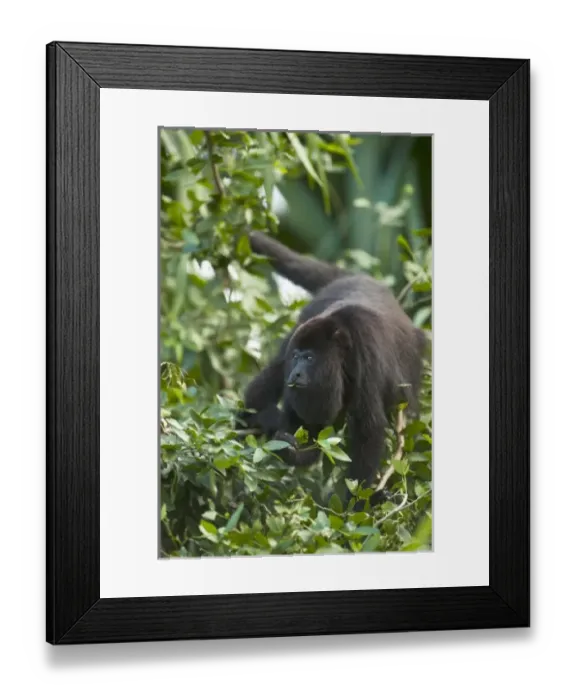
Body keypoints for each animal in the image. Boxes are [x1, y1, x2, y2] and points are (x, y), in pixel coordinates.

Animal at [237, 230, 428, 504]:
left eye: (309, 358)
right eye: (297, 356)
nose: (295, 372)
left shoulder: (367, 355)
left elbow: (369, 428)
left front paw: (356, 505)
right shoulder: (297, 335)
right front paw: (282, 438)